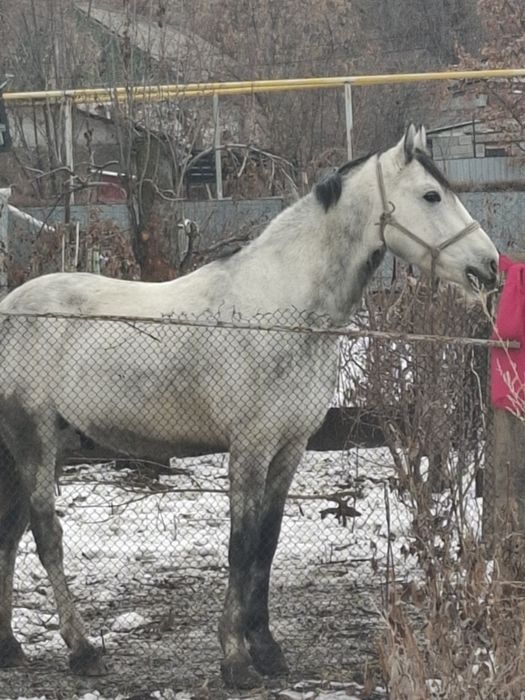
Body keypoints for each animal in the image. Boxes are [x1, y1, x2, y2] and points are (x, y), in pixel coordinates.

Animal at [0, 125, 498, 689]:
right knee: (45, 534)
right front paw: (235, 659)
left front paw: (267, 649)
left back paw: (10, 645)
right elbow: (241, 546)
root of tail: (11, 308)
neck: (281, 311)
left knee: (10, 534)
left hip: (38, 448)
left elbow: (268, 542)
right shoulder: (250, 450)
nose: (490, 266)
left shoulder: (289, 449)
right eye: (431, 195)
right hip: (34, 439)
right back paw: (82, 650)